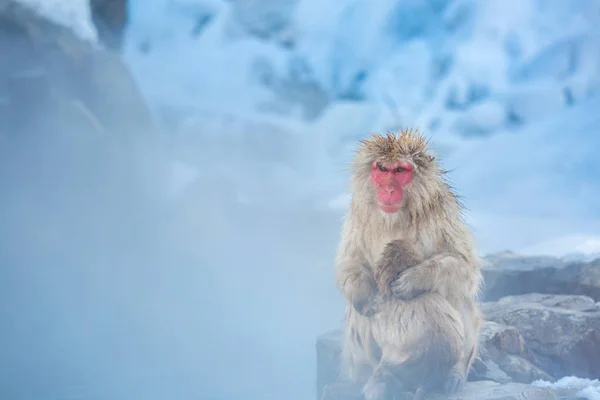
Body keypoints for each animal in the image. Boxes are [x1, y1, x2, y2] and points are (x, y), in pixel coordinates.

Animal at [332, 130, 482, 398]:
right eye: (382, 169)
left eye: (400, 170)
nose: (388, 189)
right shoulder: (358, 212)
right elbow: (350, 261)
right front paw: (364, 295)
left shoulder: (441, 211)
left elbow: (464, 266)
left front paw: (415, 279)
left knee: (461, 298)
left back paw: (452, 375)